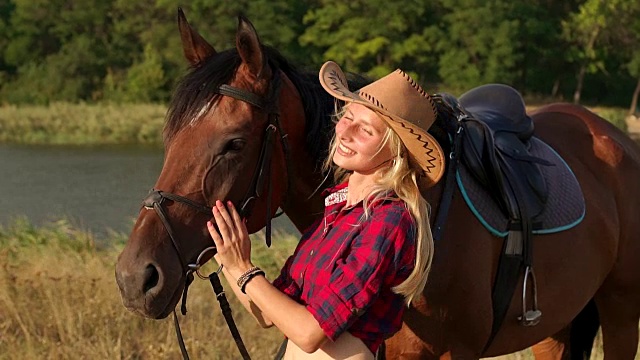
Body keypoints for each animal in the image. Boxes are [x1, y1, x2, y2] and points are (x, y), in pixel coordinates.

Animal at [114, 9, 640, 358]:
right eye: (169, 136)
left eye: (233, 143)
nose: (136, 277)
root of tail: (616, 138)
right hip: (557, 327)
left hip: (620, 313)